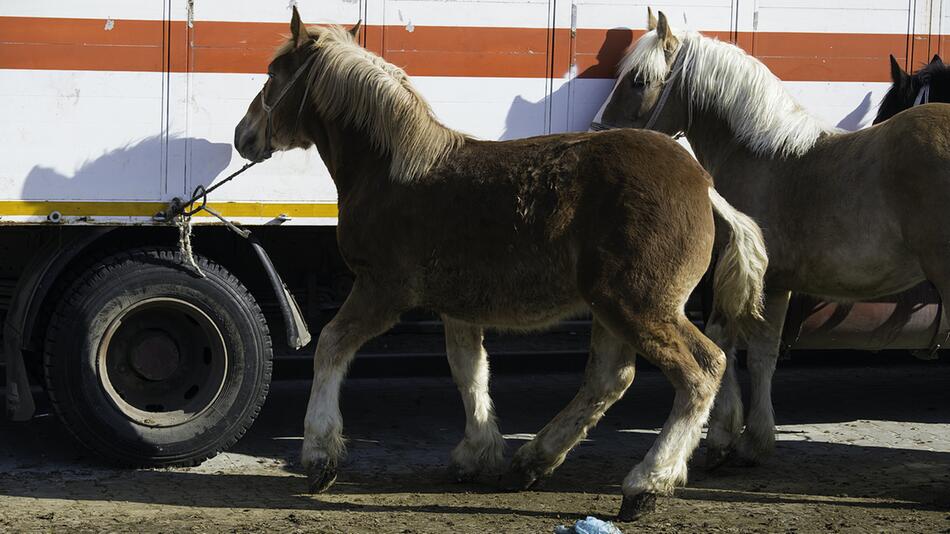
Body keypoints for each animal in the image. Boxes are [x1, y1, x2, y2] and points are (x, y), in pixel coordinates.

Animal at [238, 6, 772, 520]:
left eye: (272, 72)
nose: (243, 135)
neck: (390, 170)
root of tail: (704, 184)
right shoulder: (456, 305)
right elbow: (469, 369)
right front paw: (477, 453)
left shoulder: (381, 289)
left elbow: (330, 346)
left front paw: (320, 457)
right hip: (610, 306)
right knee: (609, 378)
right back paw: (532, 462)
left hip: (639, 305)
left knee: (702, 369)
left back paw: (647, 484)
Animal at [600, 10, 950, 472]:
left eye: (639, 80)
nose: (601, 134)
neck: (761, 156)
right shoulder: (778, 281)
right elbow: (763, 355)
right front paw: (756, 440)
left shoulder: (740, 274)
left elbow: (727, 342)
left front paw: (723, 436)